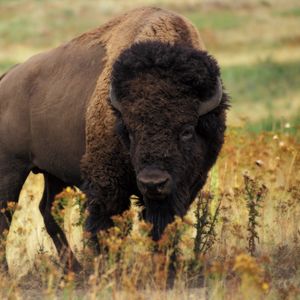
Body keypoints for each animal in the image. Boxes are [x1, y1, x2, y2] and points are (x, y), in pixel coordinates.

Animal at [0, 7, 227, 270]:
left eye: (187, 130)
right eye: (129, 130)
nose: (153, 182)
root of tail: (7, 77)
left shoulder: (183, 187)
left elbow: (163, 226)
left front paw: (165, 267)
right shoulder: (107, 184)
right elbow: (106, 226)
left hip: (53, 173)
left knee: (48, 211)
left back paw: (74, 268)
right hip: (12, 168)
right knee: (5, 217)